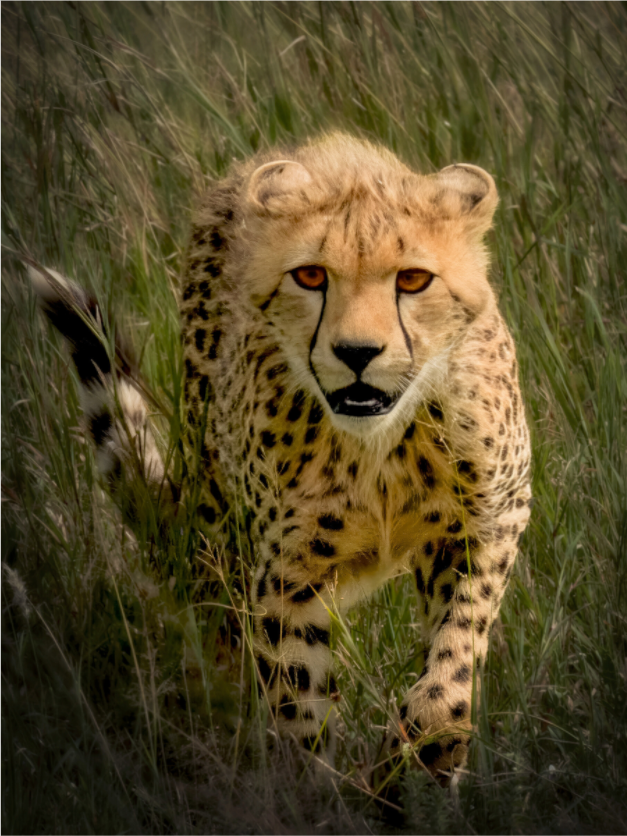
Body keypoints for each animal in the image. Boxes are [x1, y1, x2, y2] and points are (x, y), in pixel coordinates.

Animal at [27, 132, 532, 785]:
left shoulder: (490, 520)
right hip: (221, 530)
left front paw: (422, 749)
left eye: (415, 279)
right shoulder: (288, 574)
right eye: (311, 275)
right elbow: (297, 698)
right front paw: (315, 789)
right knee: (224, 639)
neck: (378, 444)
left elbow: (455, 656)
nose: (358, 352)